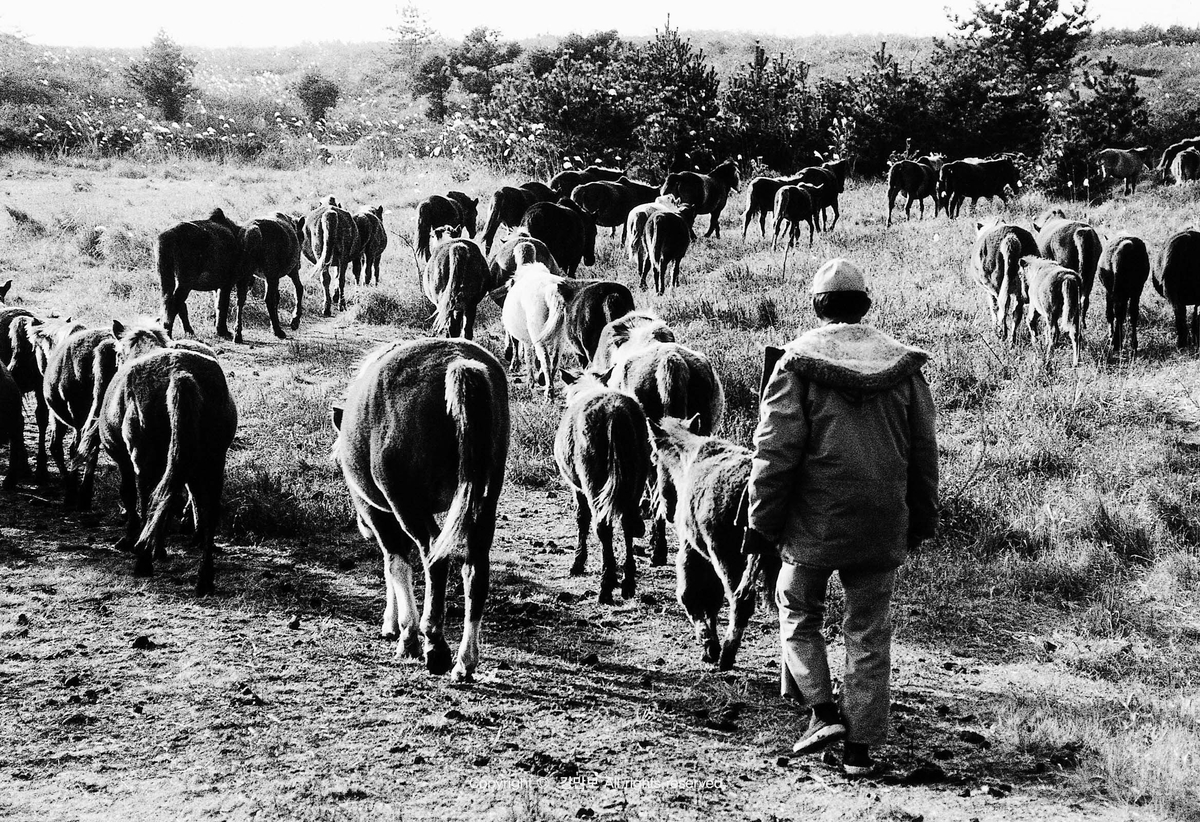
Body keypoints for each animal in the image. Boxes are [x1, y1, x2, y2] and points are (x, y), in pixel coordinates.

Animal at [92, 331, 237, 592]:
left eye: (118, 354)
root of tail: (180, 374)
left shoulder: (126, 462)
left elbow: (130, 495)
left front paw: (132, 540)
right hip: (212, 462)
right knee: (206, 510)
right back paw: (205, 577)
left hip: (145, 460)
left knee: (149, 499)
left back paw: (143, 560)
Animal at [156, 210, 242, 340]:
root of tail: (167, 236)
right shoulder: (226, 284)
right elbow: (222, 305)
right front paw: (222, 331)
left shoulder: (218, 286)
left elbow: (218, 305)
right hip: (186, 281)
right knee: (174, 303)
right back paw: (168, 331)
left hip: (167, 279)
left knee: (173, 302)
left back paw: (187, 330)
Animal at [331, 338, 508, 681]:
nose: (361, 527)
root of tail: (458, 363)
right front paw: (393, 624)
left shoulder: (382, 513)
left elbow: (395, 563)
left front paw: (407, 634)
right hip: (483, 506)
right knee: (475, 570)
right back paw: (465, 661)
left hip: (410, 507)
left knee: (434, 558)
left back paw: (435, 644)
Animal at [556, 372, 652, 602]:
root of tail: (615, 411)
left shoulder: (578, 488)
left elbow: (582, 519)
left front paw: (578, 563)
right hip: (636, 479)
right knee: (627, 523)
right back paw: (627, 583)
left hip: (593, 482)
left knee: (603, 526)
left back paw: (606, 586)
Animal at [648, 417, 777, 667]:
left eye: (654, 458)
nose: (667, 510)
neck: (689, 460)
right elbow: (712, 601)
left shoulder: (692, 549)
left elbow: (689, 595)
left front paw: (709, 645)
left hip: (730, 558)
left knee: (741, 599)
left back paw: (727, 654)